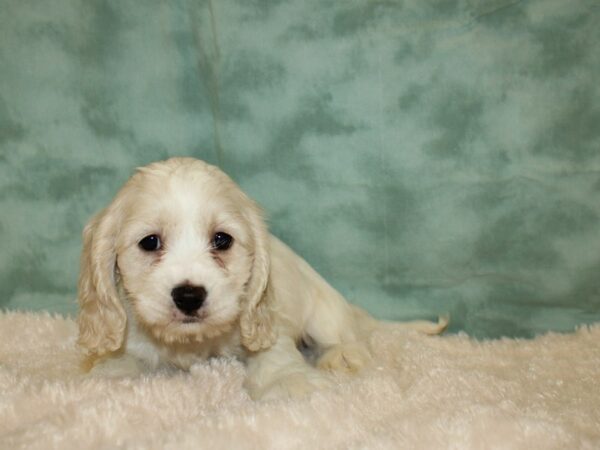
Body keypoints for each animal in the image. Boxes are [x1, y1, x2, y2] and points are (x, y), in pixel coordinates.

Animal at [77, 157, 448, 398]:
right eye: (150, 242)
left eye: (222, 240)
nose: (189, 296)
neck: (193, 343)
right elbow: (120, 362)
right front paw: (107, 378)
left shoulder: (269, 325)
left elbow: (274, 356)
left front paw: (290, 383)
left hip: (325, 312)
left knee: (347, 337)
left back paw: (342, 355)